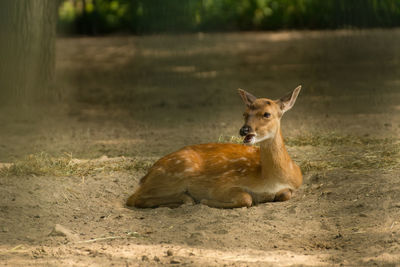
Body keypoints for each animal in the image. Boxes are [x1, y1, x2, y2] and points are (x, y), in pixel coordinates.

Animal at [126, 86, 302, 209]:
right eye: (244, 114)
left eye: (267, 114)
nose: (244, 130)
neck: (269, 179)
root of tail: (146, 177)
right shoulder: (222, 184)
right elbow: (247, 198)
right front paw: (205, 200)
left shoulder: (293, 186)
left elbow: (285, 194)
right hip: (177, 172)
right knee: (134, 198)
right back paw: (186, 199)